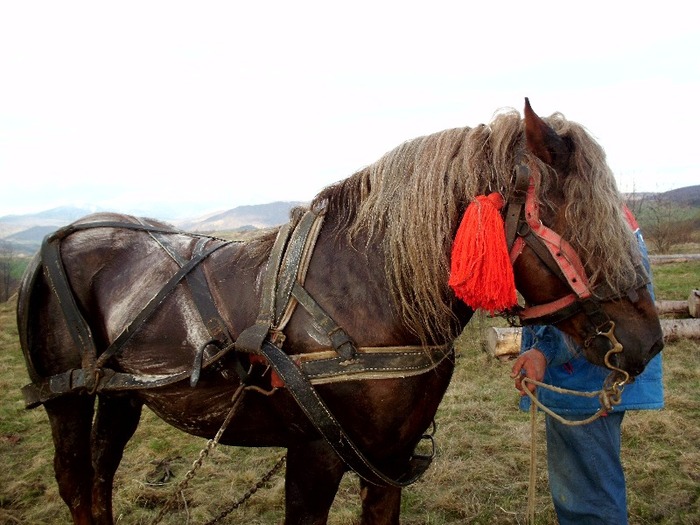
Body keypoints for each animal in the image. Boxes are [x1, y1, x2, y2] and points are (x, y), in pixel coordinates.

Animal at [15, 100, 660, 520]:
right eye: (565, 213)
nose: (647, 341)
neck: (370, 289)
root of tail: (64, 236)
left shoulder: (388, 465)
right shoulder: (314, 458)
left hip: (122, 395)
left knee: (101, 476)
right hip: (65, 398)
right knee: (76, 483)